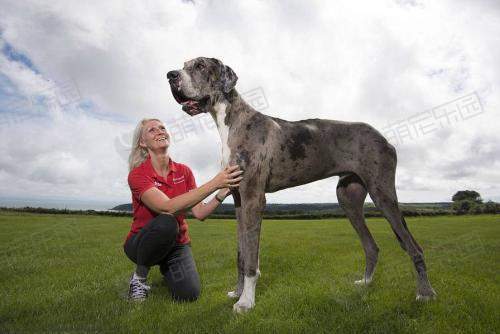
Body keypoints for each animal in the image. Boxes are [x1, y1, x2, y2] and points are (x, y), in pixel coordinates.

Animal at [166, 56, 436, 314]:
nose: (170, 75)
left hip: (382, 193)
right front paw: (238, 293)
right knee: (372, 247)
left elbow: (252, 259)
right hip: (347, 198)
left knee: (414, 246)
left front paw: (246, 303)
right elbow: (241, 255)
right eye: (183, 65)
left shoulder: (254, 197)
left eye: (200, 65)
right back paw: (366, 283)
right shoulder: (239, 201)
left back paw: (425, 293)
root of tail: (385, 138)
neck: (230, 121)